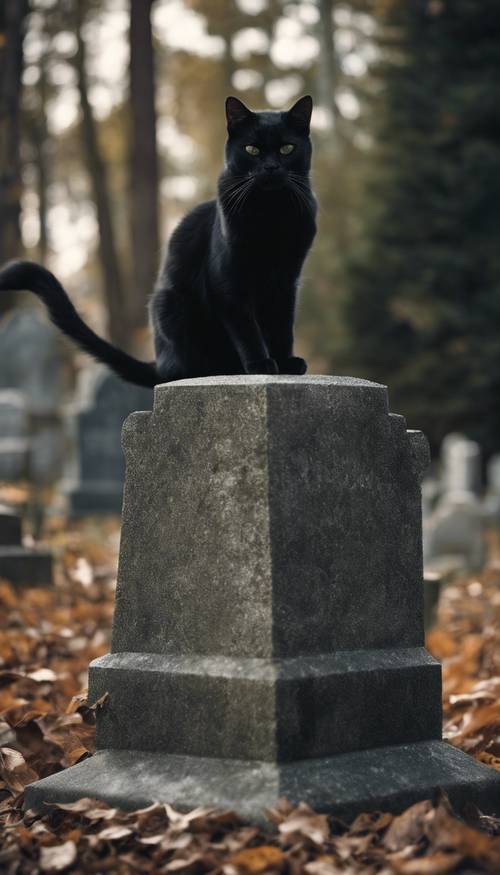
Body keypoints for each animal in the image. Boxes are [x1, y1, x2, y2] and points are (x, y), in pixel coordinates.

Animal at [0, 92, 316, 386]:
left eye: (287, 148)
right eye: (252, 149)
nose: (271, 167)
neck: (271, 216)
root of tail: (159, 364)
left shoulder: (287, 280)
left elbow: (283, 327)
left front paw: (285, 363)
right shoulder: (228, 281)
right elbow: (247, 329)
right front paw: (261, 365)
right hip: (171, 306)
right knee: (185, 367)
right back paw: (225, 369)